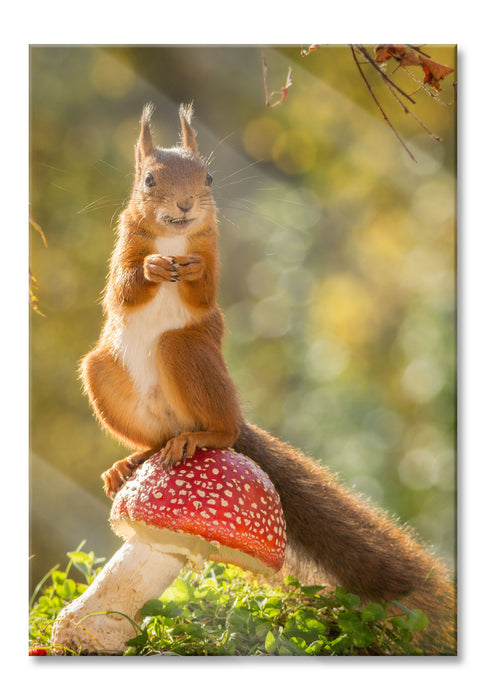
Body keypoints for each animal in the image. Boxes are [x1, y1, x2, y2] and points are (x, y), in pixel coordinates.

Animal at [79, 105, 456, 656]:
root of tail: (193, 422)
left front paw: (190, 271)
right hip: (103, 374)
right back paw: (130, 462)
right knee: (153, 439)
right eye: (148, 180)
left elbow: (204, 290)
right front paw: (151, 268)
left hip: (189, 353)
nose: (186, 204)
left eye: (208, 177)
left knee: (223, 428)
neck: (174, 240)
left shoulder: (212, 252)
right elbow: (123, 288)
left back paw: (203, 437)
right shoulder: (123, 247)